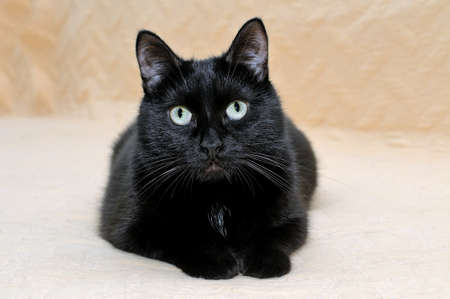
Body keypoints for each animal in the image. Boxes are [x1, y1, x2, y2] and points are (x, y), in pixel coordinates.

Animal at [99, 18, 316, 282]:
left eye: (236, 108)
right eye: (180, 114)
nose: (211, 144)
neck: (217, 195)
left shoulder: (293, 214)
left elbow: (273, 236)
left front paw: (264, 261)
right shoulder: (127, 225)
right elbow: (177, 236)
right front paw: (215, 260)